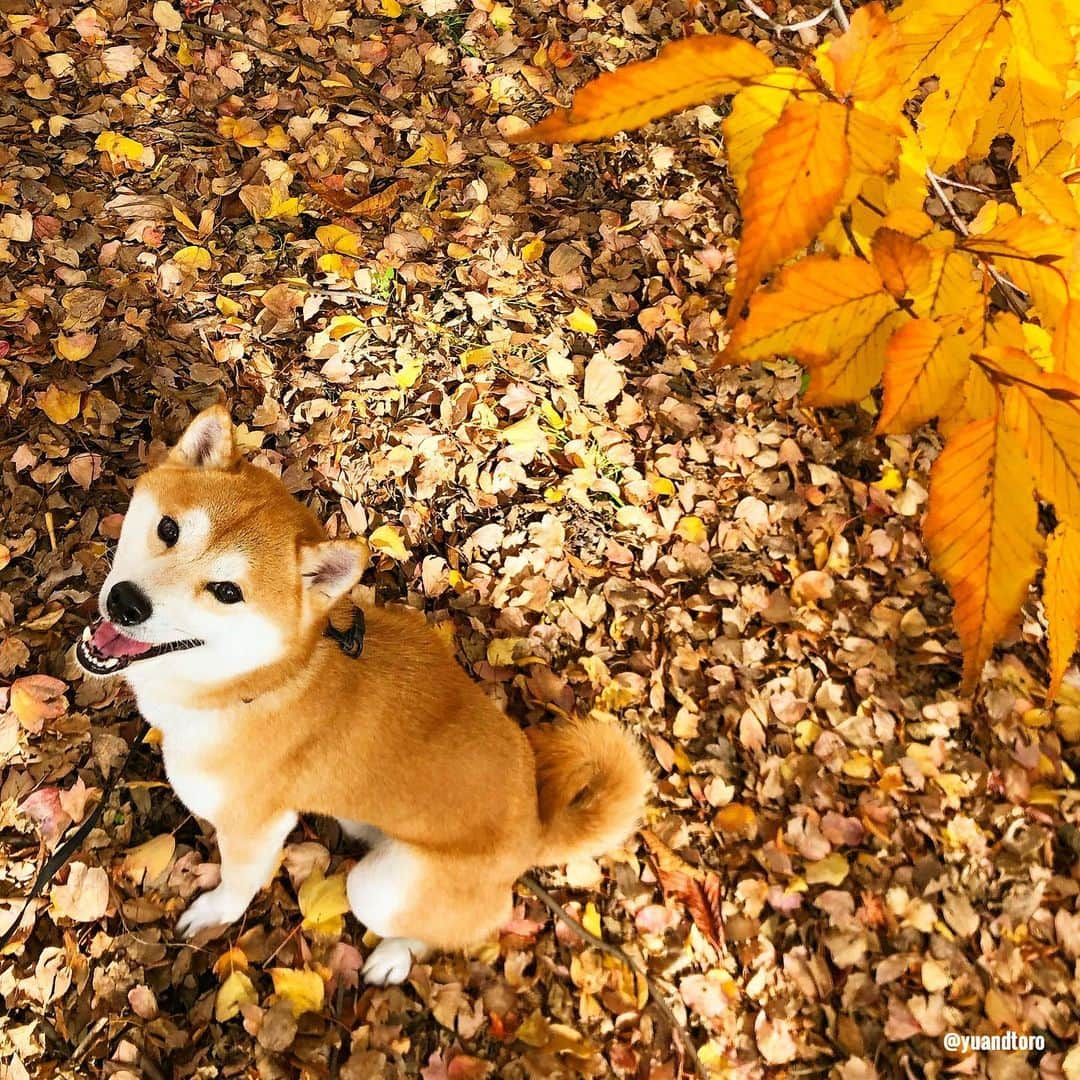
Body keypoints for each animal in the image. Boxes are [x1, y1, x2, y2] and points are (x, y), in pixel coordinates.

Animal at [78, 406, 648, 989]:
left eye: (227, 592)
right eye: (168, 529)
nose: (125, 604)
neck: (259, 684)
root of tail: (534, 828)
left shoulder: (256, 830)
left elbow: (237, 887)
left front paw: (215, 912)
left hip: (381, 887)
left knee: (460, 927)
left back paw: (394, 957)